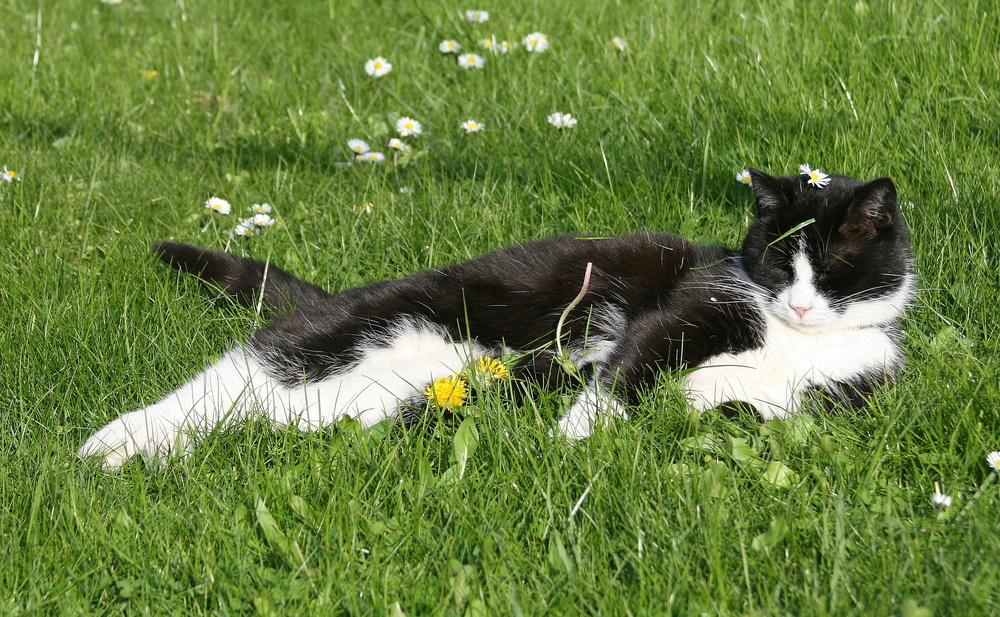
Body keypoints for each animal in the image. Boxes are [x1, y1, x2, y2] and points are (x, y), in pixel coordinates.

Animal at [80, 168, 916, 466]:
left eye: (830, 268)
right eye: (776, 262)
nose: (798, 300)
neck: (790, 341)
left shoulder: (826, 399)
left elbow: (738, 409)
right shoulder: (687, 309)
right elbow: (625, 371)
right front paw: (574, 438)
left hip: (369, 402)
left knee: (257, 408)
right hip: (372, 321)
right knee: (239, 370)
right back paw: (113, 441)